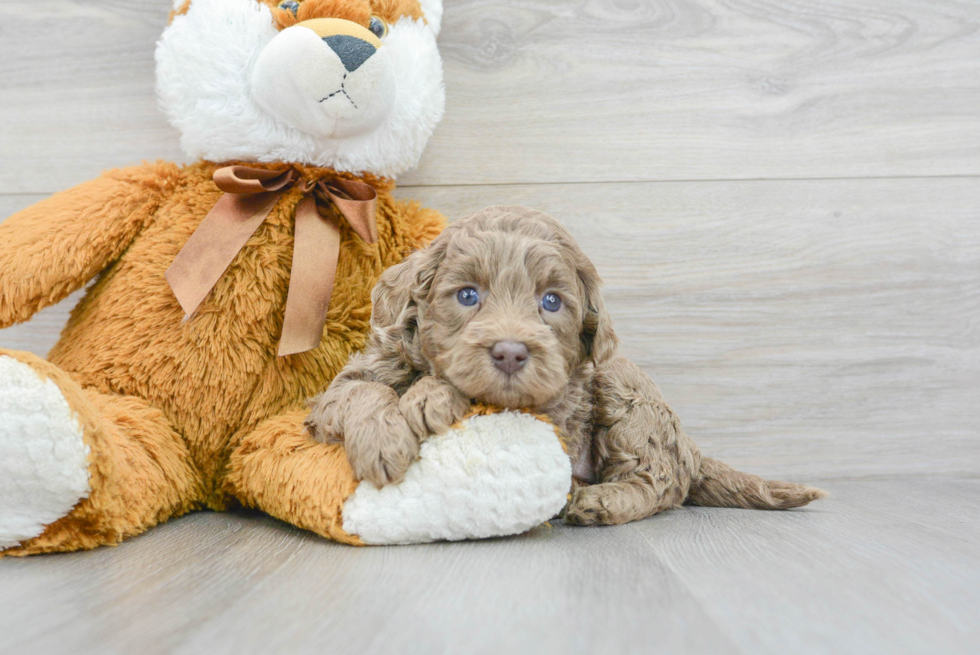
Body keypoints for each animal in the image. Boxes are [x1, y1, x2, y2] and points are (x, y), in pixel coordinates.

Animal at [302, 205, 824, 528]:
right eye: (468, 295)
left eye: (551, 301)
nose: (510, 352)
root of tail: (691, 449)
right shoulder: (350, 382)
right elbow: (364, 390)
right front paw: (385, 439)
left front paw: (429, 397)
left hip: (624, 391)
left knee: (660, 483)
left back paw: (599, 499)